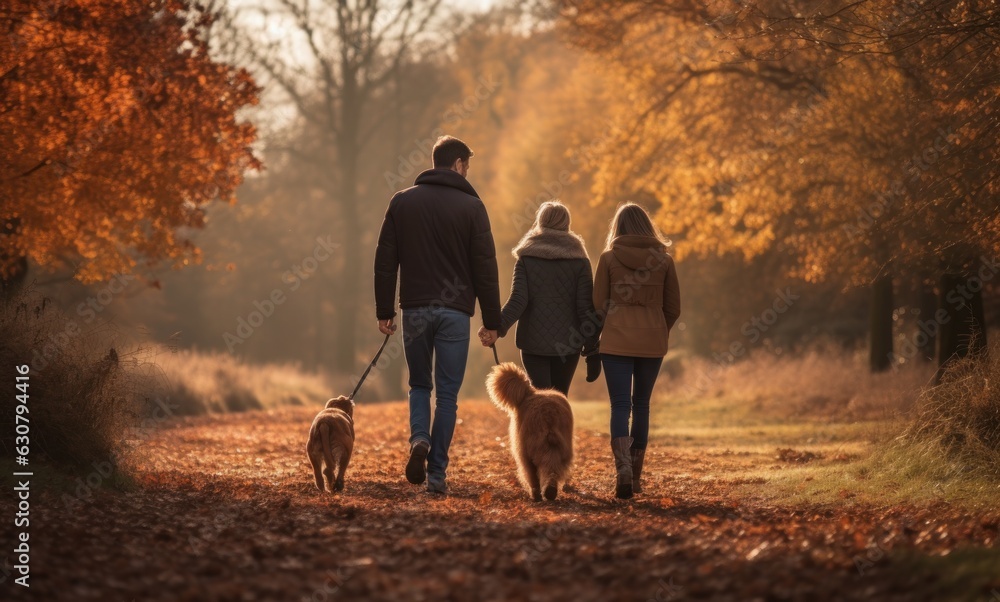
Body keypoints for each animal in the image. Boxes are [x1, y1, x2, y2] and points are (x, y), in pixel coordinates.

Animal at [488, 364, 576, 500]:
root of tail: (549, 414)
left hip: (527, 451)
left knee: (533, 475)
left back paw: (537, 495)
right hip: (560, 449)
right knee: (553, 470)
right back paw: (551, 491)